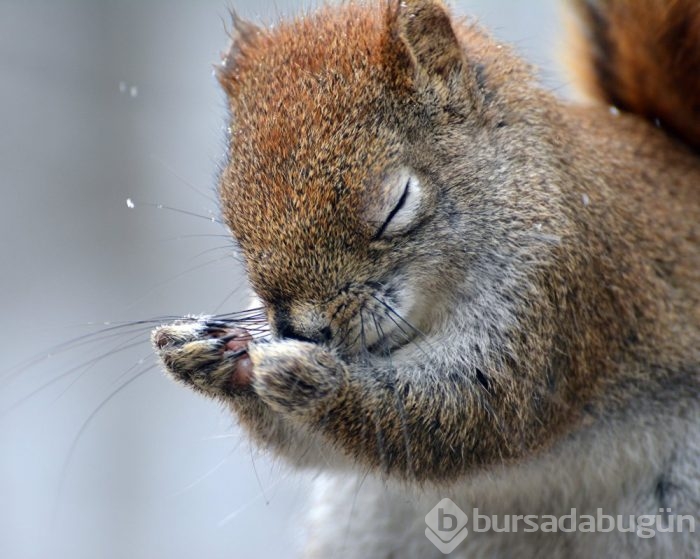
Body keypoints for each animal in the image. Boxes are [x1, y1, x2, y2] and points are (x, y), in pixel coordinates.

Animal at [152, 1, 700, 556]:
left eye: (396, 205)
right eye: (232, 215)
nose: (301, 332)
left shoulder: (561, 293)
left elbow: (471, 413)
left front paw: (310, 377)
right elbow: (317, 448)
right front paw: (200, 352)